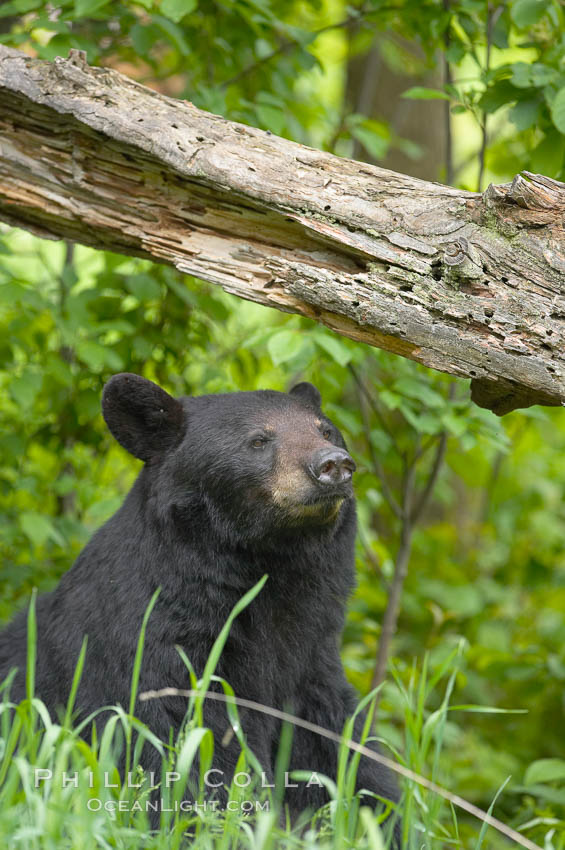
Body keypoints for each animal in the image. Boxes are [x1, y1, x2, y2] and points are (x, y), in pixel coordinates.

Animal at [0, 372, 398, 840]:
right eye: (259, 440)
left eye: (325, 430)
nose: (334, 464)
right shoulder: (157, 662)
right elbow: (196, 761)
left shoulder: (310, 660)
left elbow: (342, 751)